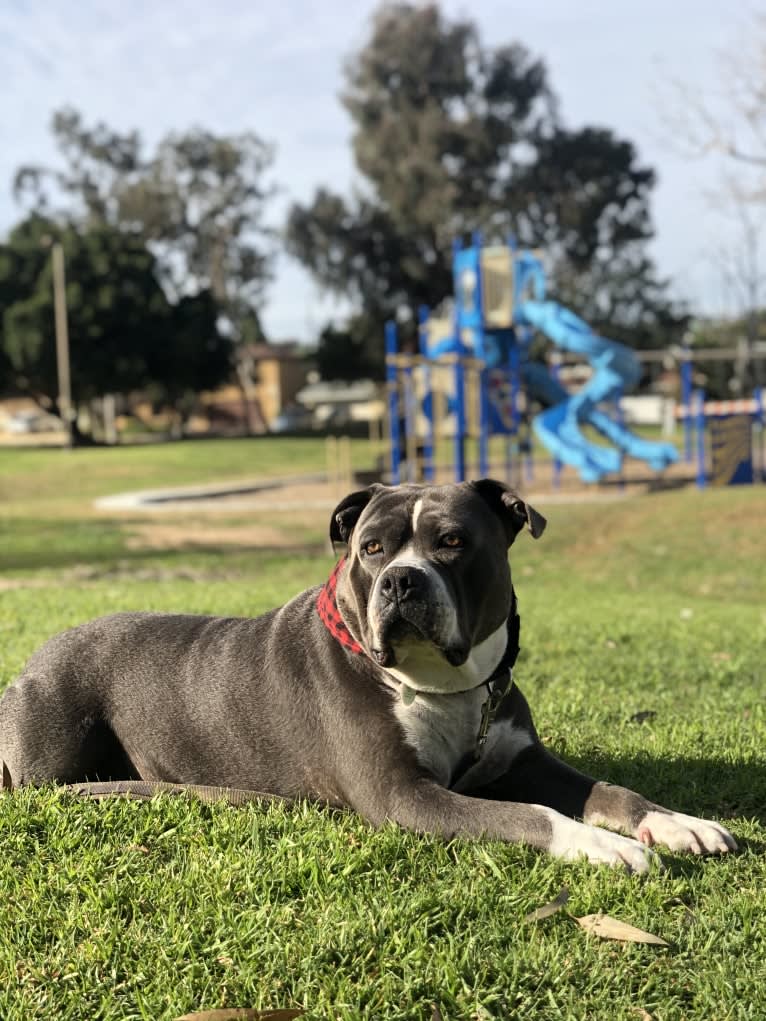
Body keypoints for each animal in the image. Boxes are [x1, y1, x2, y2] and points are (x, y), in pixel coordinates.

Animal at [0, 477, 739, 869]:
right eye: (372, 547)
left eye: (452, 541)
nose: (401, 580)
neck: (442, 684)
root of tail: (29, 664)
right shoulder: (403, 795)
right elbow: (528, 813)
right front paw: (599, 844)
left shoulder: (524, 757)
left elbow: (610, 789)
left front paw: (676, 822)